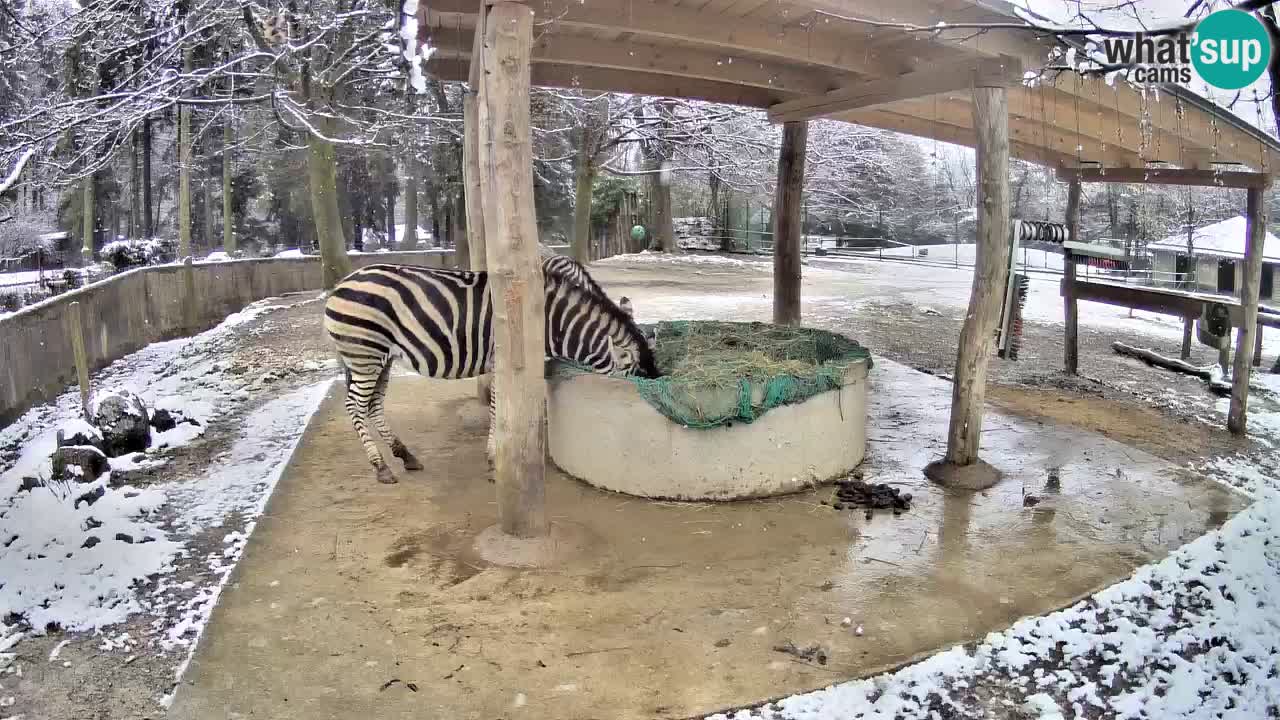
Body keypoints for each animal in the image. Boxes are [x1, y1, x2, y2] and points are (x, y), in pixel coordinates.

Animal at [325, 258, 660, 481]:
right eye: (636, 379)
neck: (552, 321)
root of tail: (342, 283)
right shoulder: (504, 361)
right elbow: (501, 408)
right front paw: (496, 458)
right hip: (365, 354)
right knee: (355, 405)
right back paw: (380, 467)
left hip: (381, 357)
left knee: (374, 405)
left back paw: (405, 456)